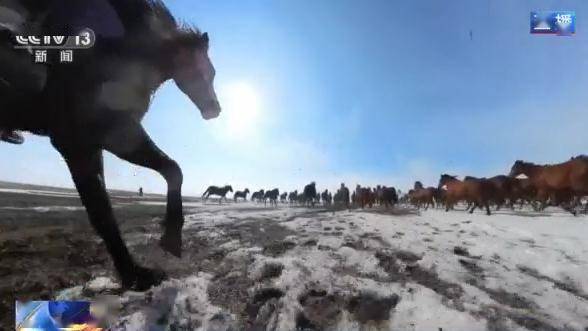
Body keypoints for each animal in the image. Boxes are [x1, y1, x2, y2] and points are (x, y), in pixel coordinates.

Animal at [0, 0, 220, 290]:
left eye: (212, 71)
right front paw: (140, 271)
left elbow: (169, 172)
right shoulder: (81, 141)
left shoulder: (108, 137)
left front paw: (158, 251)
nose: (214, 109)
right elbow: (103, 211)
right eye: (199, 69)